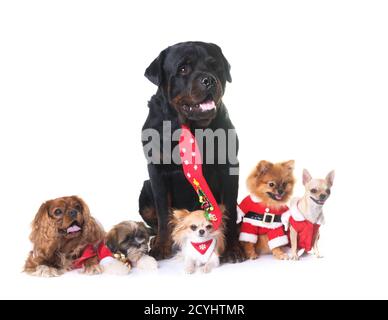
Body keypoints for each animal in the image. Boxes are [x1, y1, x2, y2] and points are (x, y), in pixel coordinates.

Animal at [138, 40, 244, 262]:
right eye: (183, 69)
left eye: (214, 66)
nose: (208, 80)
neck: (191, 126)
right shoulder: (156, 170)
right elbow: (163, 211)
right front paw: (161, 246)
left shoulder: (229, 167)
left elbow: (229, 209)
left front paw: (232, 247)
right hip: (145, 188)